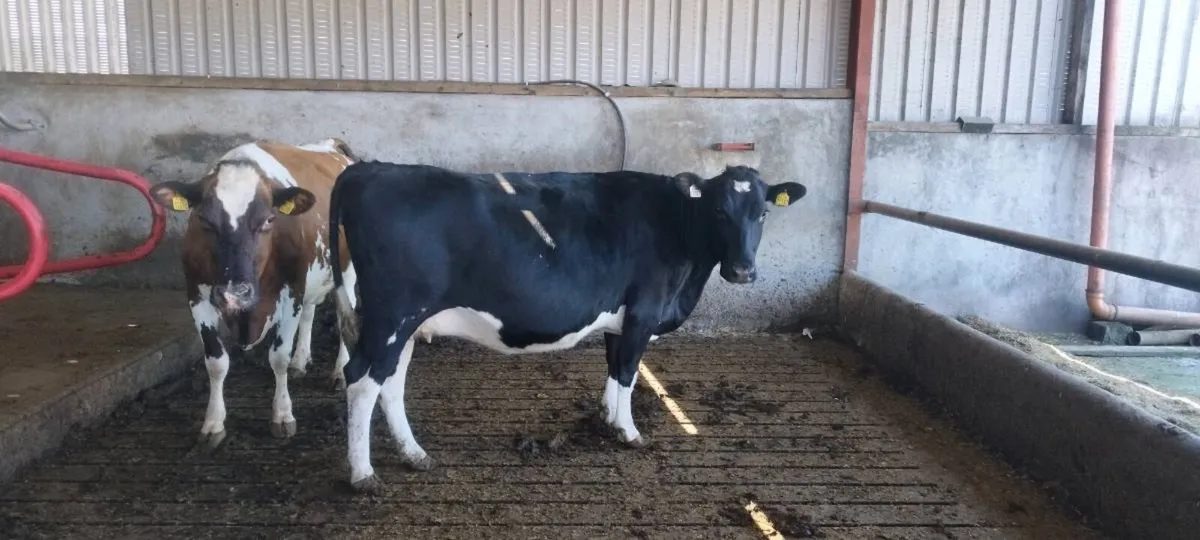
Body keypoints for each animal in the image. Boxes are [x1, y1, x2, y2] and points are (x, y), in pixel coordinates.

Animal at [149, 138, 360, 448]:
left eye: (269, 220)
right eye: (204, 220)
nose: (235, 292)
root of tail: (332, 145)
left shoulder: (291, 292)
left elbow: (278, 356)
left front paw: (282, 415)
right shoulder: (197, 294)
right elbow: (216, 362)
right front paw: (213, 423)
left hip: (347, 270)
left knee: (346, 315)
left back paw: (339, 371)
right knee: (311, 311)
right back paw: (301, 361)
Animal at [327, 162, 806, 492]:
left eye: (762, 213)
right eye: (720, 210)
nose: (743, 271)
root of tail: (371, 168)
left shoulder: (619, 319)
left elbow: (614, 369)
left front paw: (607, 418)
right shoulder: (643, 312)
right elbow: (629, 372)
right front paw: (629, 432)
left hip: (404, 324)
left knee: (390, 382)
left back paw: (413, 454)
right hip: (392, 316)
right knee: (362, 380)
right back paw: (363, 474)